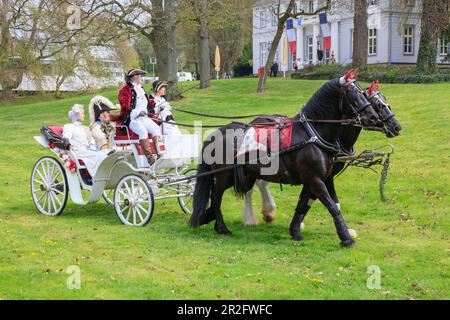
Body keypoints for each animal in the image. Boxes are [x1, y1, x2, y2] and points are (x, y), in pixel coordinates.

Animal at [192, 77, 384, 248]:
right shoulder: (314, 179)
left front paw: (295, 231)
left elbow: (303, 205)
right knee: (216, 197)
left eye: (364, 94)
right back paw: (222, 227)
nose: (374, 118)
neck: (312, 135)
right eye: (353, 93)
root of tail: (215, 133)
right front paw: (345, 238)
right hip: (223, 175)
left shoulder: (318, 179)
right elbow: (332, 206)